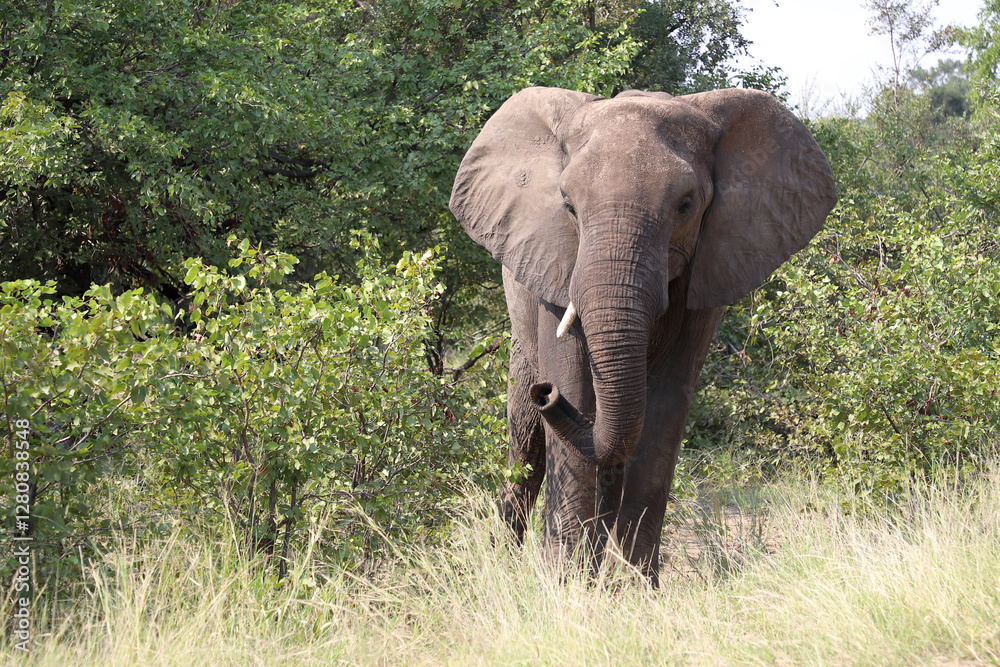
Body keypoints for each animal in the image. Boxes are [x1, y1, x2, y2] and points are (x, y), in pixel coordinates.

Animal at [449, 86, 837, 584]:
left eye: (686, 205)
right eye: (568, 205)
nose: (545, 393)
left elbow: (667, 404)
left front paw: (631, 588)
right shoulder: (553, 259)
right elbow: (574, 381)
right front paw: (564, 584)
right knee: (527, 438)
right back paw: (510, 560)